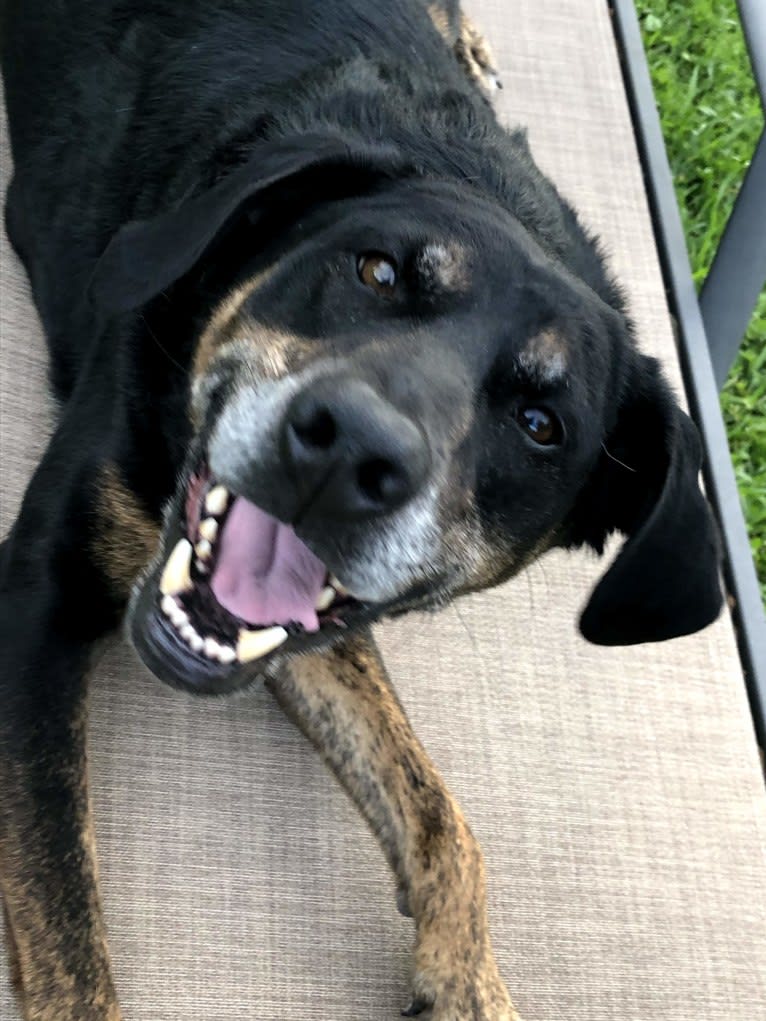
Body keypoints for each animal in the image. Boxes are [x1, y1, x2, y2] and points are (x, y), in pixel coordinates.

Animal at [0, 1, 723, 1021]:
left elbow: (441, 816)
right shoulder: (40, 587)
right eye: (375, 271)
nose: (352, 450)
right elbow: (66, 932)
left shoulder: (307, 627)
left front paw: (468, 984)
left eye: (542, 424)